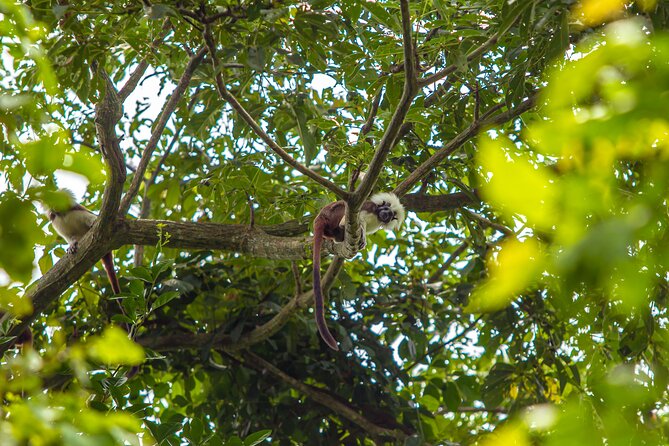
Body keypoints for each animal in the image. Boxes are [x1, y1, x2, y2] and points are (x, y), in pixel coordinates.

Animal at [312, 192, 404, 352]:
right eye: (386, 209)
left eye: (391, 215)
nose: (386, 214)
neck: (377, 215)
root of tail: (320, 217)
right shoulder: (368, 208)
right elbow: (356, 220)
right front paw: (361, 234)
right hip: (333, 214)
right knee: (345, 210)